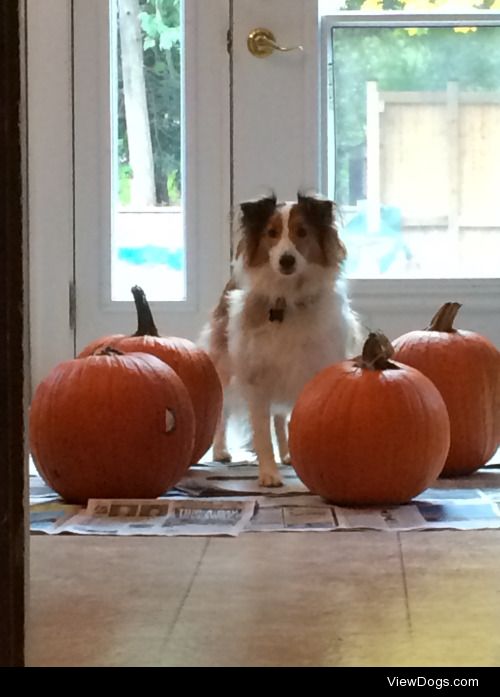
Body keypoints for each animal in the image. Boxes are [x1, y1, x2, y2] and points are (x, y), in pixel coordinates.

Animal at [199, 190, 364, 484]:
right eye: (272, 233)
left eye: (302, 232)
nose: (286, 260)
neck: (287, 299)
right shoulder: (256, 378)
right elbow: (261, 432)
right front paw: (268, 474)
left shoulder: (308, 369)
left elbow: (292, 421)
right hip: (225, 368)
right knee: (223, 410)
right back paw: (220, 451)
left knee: (279, 417)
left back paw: (286, 454)